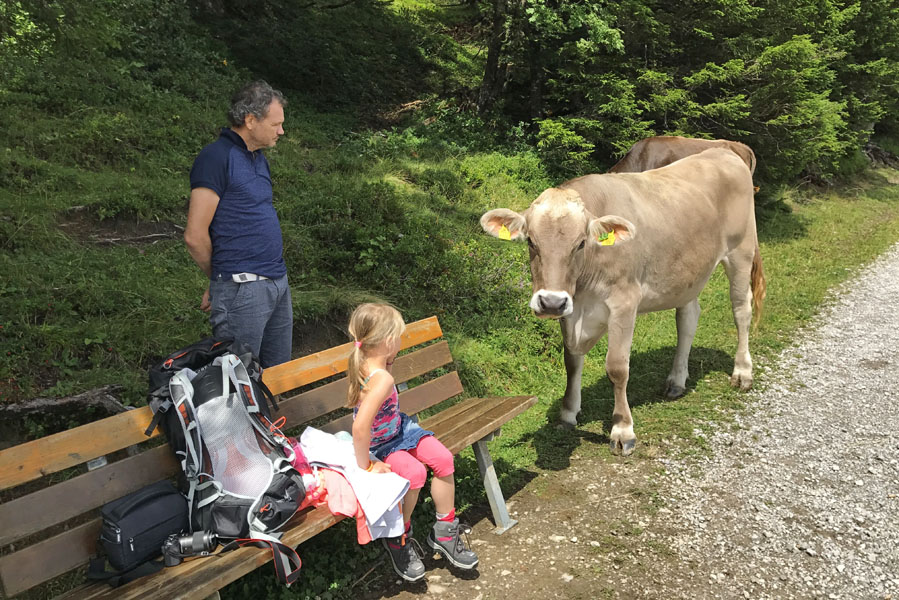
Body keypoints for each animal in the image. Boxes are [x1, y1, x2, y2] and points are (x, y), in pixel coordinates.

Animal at [482, 149, 764, 454]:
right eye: (531, 242)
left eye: (581, 243)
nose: (551, 303)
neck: (585, 289)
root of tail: (723, 151)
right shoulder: (572, 308)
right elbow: (572, 360)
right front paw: (568, 414)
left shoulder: (624, 302)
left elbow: (617, 368)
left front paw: (622, 429)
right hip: (688, 274)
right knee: (688, 319)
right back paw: (676, 380)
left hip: (741, 251)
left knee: (741, 309)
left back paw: (742, 373)